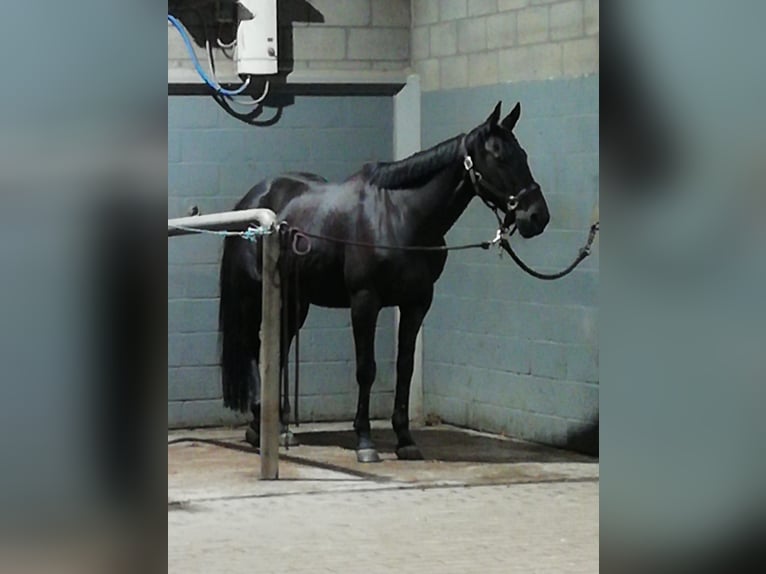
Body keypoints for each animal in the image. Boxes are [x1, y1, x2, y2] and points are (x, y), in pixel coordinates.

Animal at [222, 102, 552, 464]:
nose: (537, 216)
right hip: (254, 295)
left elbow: (405, 367)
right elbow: (366, 369)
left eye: (522, 154)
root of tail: (252, 200)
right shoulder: (365, 301)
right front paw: (365, 442)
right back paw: (258, 425)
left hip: (295, 302)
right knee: (253, 347)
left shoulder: (417, 303)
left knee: (278, 351)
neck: (402, 217)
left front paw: (405, 439)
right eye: (498, 156)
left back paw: (277, 429)